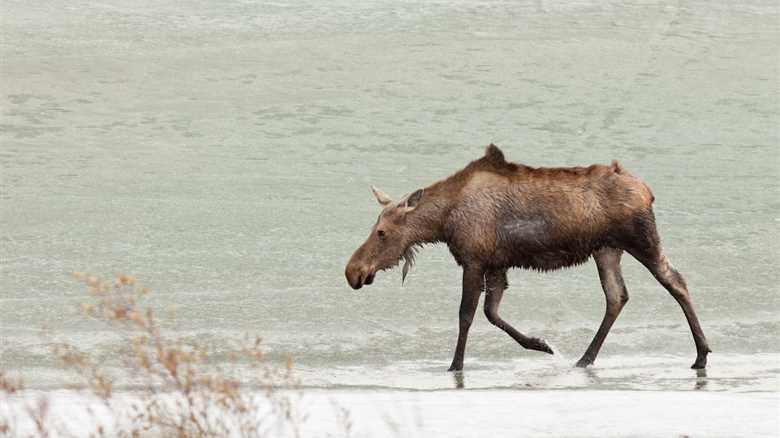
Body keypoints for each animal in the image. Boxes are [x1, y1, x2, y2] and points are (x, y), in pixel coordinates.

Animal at [345, 144, 710, 371]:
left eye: (382, 232)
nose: (353, 271)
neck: (443, 223)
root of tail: (648, 191)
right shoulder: (497, 264)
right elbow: (492, 313)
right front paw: (542, 344)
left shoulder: (474, 259)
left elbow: (466, 316)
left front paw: (455, 365)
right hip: (606, 249)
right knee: (617, 296)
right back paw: (585, 358)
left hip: (641, 239)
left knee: (675, 281)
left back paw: (702, 354)